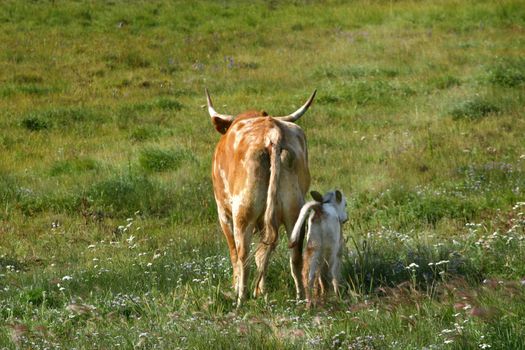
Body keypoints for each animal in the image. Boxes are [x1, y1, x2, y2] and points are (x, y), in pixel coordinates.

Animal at [206, 89, 316, 304]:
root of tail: (272, 133)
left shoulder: (223, 213)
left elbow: (235, 253)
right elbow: (263, 254)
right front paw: (262, 290)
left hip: (243, 214)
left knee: (243, 256)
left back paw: (241, 298)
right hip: (294, 212)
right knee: (294, 255)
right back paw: (299, 297)